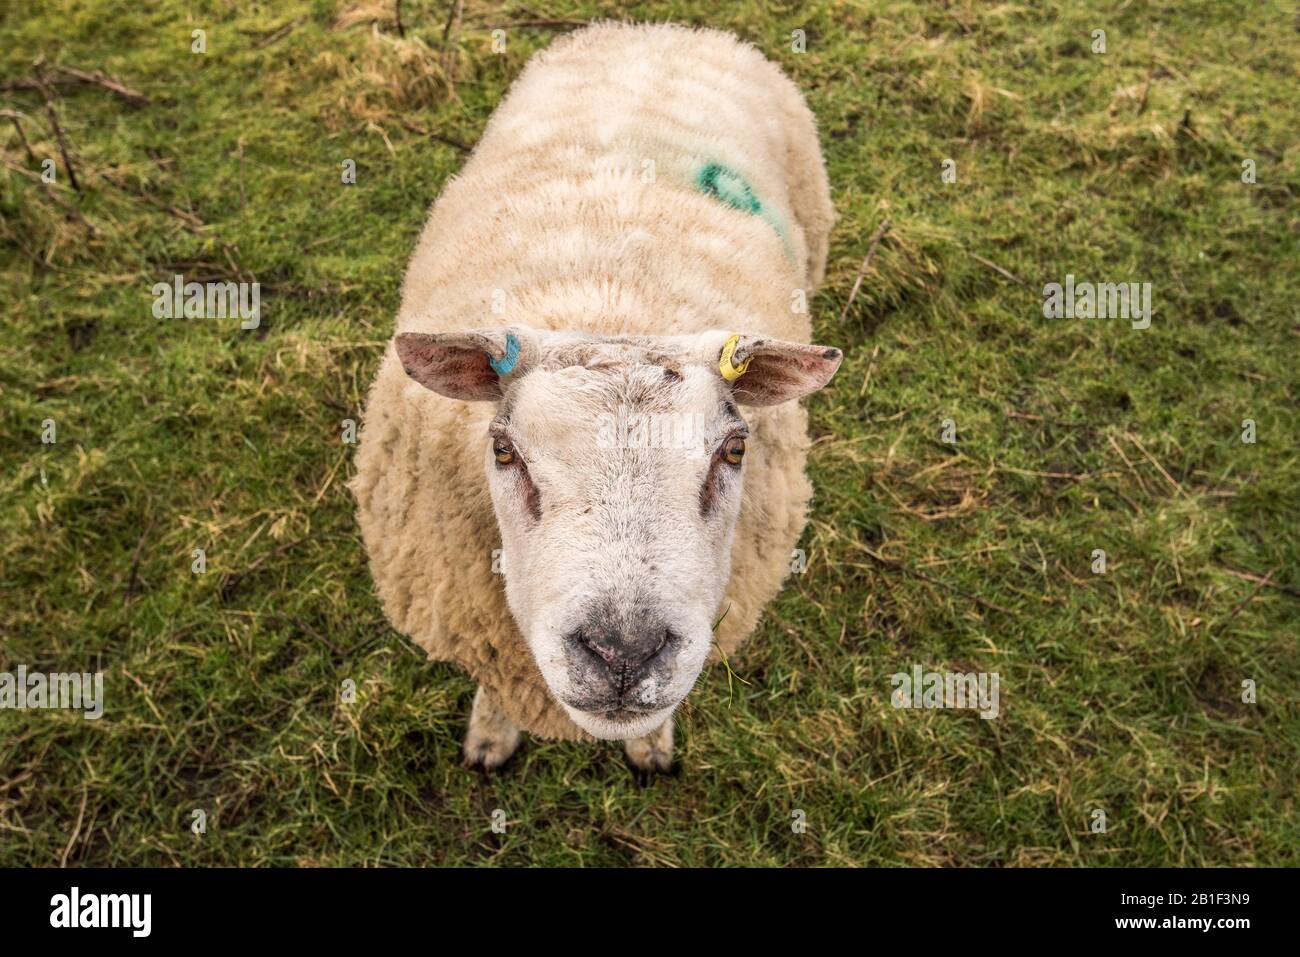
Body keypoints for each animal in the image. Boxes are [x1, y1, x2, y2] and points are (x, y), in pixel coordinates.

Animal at [351, 20, 842, 769]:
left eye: (734, 450)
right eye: (503, 450)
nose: (623, 654)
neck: (613, 305)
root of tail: (661, 29)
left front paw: (650, 745)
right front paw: (490, 735)